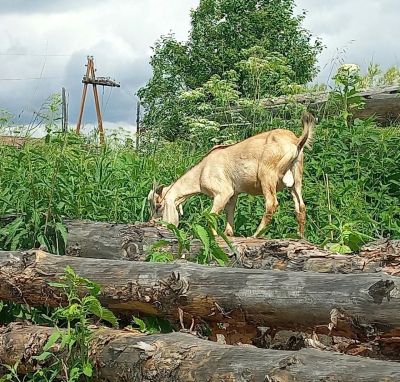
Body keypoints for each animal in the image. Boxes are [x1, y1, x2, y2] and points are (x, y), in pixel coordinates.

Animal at [148, 113, 314, 237]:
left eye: (159, 206)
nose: (151, 222)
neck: (201, 171)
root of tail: (296, 141)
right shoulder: (233, 194)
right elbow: (230, 213)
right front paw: (228, 234)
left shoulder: (222, 192)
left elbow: (212, 215)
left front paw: (215, 236)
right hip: (296, 177)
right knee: (300, 206)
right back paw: (300, 237)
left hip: (267, 175)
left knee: (271, 204)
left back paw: (255, 235)